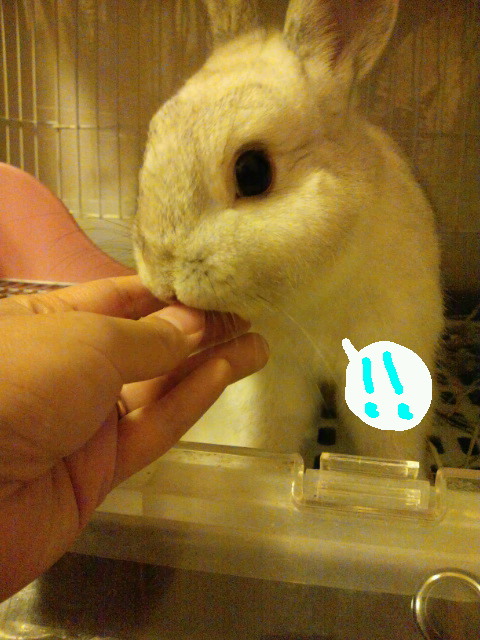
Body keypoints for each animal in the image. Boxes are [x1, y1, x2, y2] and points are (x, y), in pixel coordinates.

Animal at [133, 0, 443, 471]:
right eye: (154, 134)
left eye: (253, 171)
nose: (162, 277)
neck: (311, 293)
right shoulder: (275, 381)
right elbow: (271, 440)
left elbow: (386, 450)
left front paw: (396, 478)